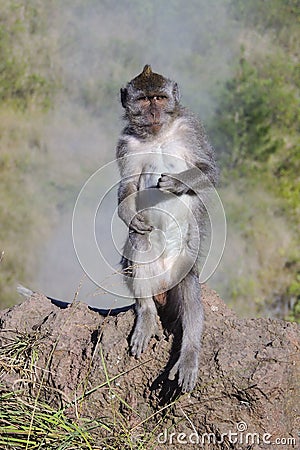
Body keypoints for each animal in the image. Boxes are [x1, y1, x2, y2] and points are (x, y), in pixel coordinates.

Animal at [116, 65, 217, 392]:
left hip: (181, 269)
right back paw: (147, 315)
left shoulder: (190, 127)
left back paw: (189, 354)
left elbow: (209, 171)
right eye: (144, 99)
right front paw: (127, 213)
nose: (154, 111)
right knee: (139, 242)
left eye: (160, 98)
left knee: (189, 288)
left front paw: (176, 182)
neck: (158, 135)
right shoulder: (126, 143)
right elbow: (127, 186)